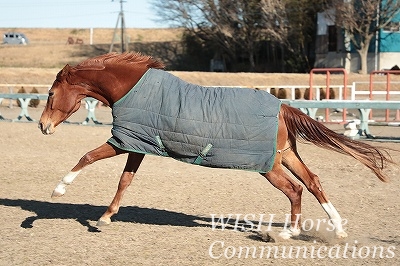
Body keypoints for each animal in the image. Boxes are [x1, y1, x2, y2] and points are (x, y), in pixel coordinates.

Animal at [39, 51, 392, 239]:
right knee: (313, 182)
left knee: (295, 190)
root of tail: (283, 107)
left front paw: (58, 190)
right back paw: (338, 228)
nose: (43, 126)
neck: (131, 88)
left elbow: (87, 156)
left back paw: (288, 232)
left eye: (51, 94)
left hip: (268, 166)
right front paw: (106, 216)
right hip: (285, 155)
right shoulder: (138, 143)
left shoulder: (125, 141)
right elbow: (125, 180)